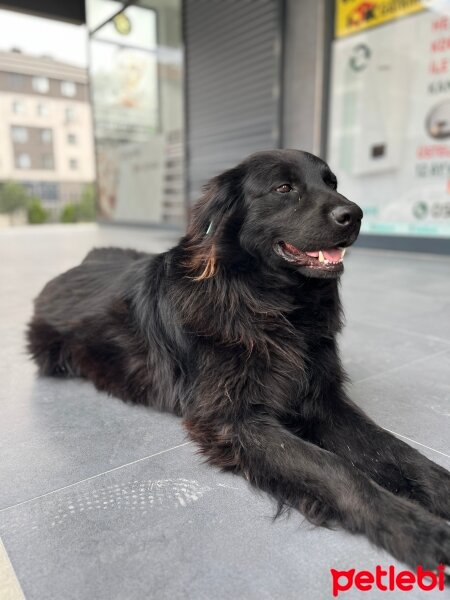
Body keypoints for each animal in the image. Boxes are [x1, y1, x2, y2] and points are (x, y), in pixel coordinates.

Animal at [28, 150, 450, 572]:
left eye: (332, 183)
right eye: (284, 188)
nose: (356, 213)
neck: (268, 306)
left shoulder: (322, 398)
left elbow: (396, 449)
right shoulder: (234, 420)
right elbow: (338, 470)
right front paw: (416, 529)